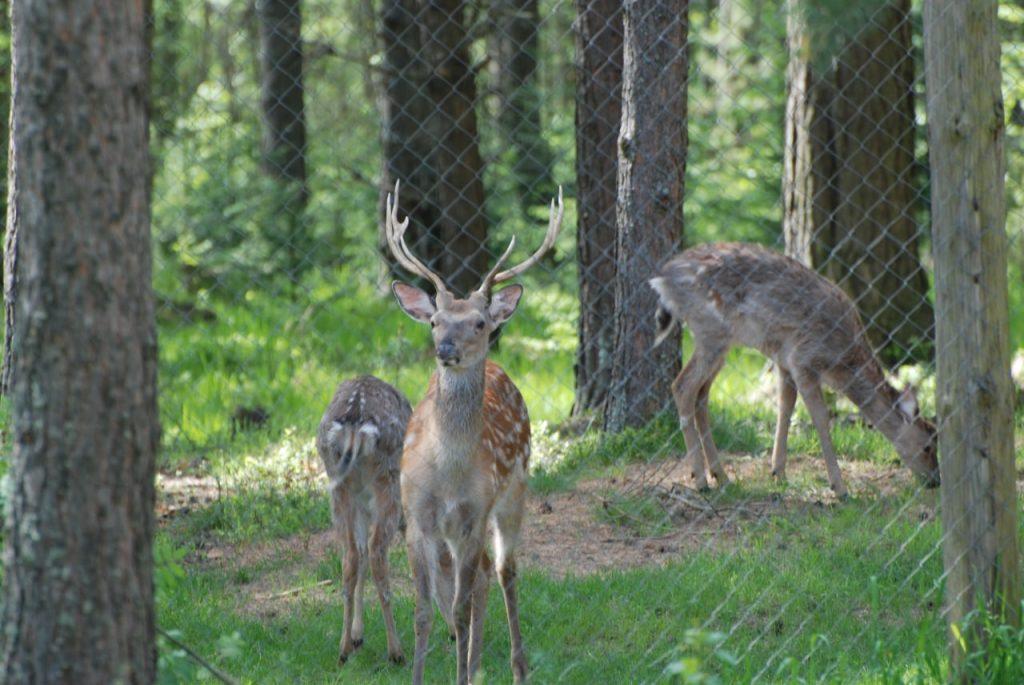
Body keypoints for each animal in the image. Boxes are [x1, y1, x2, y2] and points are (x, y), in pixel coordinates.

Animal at [313, 374, 409, 663]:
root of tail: (355, 427)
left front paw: (358, 634)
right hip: (389, 481)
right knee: (376, 553)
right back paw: (396, 651)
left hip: (339, 487)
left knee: (352, 556)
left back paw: (344, 648)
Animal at [385, 179, 561, 679]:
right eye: (434, 320)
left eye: (480, 322)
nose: (446, 348)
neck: (448, 472)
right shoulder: (417, 517)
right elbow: (424, 610)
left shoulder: (473, 516)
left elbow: (460, 609)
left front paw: (462, 673)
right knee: (482, 576)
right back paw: (479, 666)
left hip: (513, 492)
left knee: (503, 571)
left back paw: (516, 668)